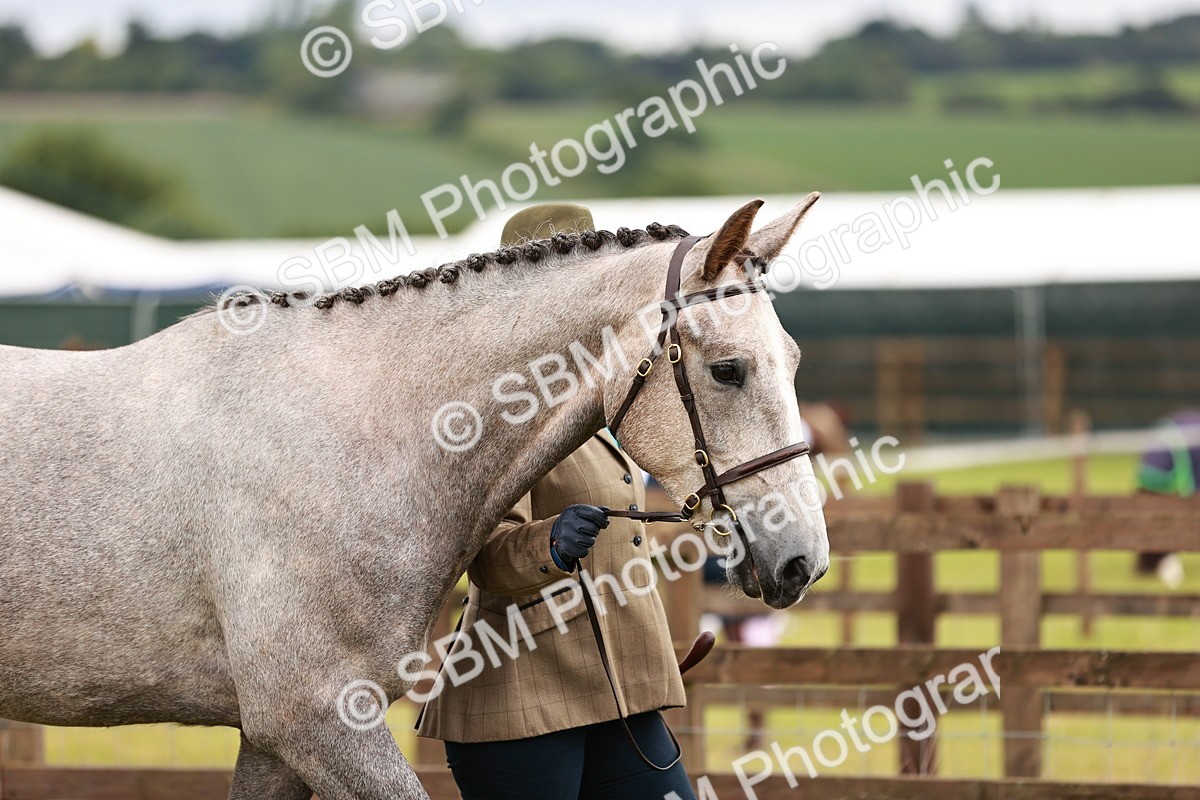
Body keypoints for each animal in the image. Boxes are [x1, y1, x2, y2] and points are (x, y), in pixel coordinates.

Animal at [0, 195, 828, 799]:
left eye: (793, 359)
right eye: (727, 370)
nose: (803, 562)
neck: (361, 430)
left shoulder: (274, 742)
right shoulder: (319, 723)